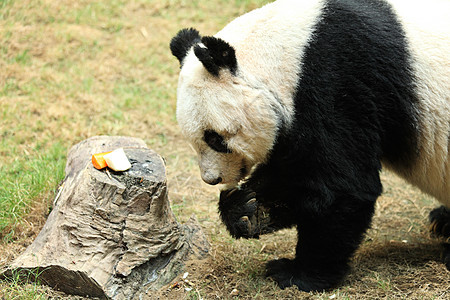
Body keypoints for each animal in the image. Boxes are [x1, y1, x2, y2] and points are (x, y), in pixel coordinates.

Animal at [170, 0, 450, 292]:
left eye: (214, 138)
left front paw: (296, 273)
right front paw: (247, 208)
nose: (212, 179)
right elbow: (294, 174)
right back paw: (442, 221)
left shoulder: (340, 78)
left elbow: (338, 184)